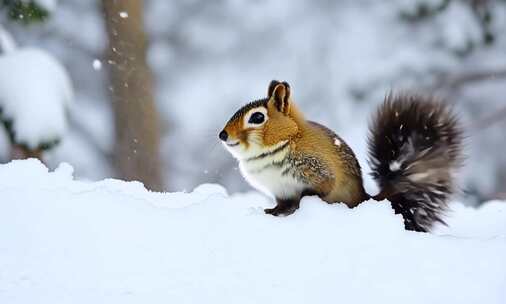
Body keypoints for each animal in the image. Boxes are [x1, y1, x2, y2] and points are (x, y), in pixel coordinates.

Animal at [217, 79, 462, 232]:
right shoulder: (280, 190)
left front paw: (299, 205)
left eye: (257, 117)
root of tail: (365, 199)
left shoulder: (318, 171)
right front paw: (272, 211)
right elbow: (282, 204)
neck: (286, 140)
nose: (223, 134)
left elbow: (316, 191)